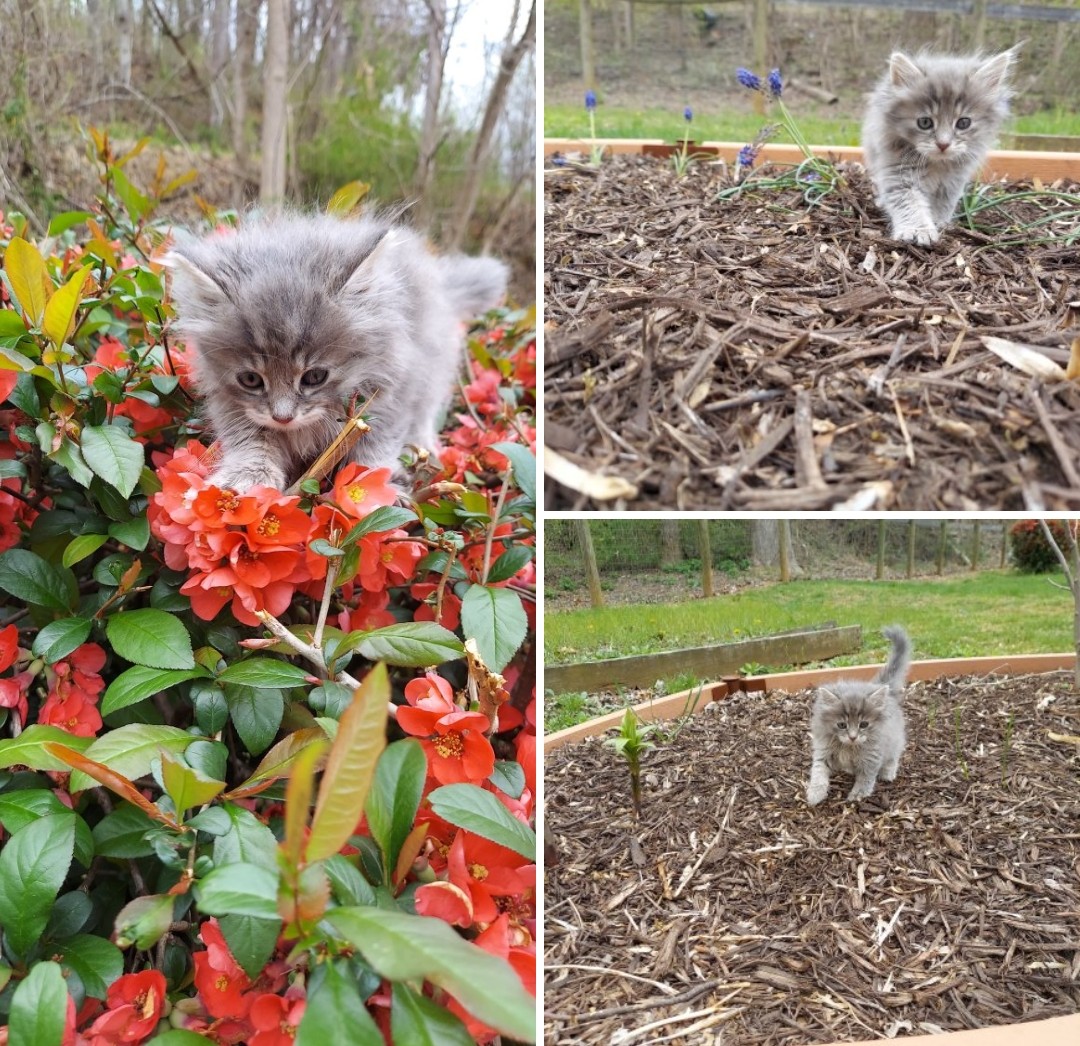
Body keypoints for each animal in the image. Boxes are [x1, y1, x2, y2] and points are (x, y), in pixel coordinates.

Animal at [165, 213, 509, 494]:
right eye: (250, 379)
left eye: (315, 377)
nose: (283, 417)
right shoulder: (231, 402)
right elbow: (249, 439)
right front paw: (246, 478)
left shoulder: (393, 388)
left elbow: (378, 444)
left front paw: (375, 481)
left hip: (433, 365)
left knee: (426, 409)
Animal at [807, 626, 915, 803]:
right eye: (841, 725)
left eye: (864, 724)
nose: (852, 737)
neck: (849, 748)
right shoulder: (823, 752)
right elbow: (818, 772)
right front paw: (815, 794)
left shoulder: (872, 757)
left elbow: (866, 778)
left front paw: (858, 794)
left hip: (894, 739)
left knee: (894, 755)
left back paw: (888, 772)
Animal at [859, 47, 1019, 245]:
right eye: (925, 122)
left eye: (963, 123)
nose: (943, 144)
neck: (936, 164)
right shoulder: (898, 172)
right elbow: (909, 202)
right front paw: (918, 230)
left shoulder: (953, 181)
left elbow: (943, 203)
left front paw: (938, 222)